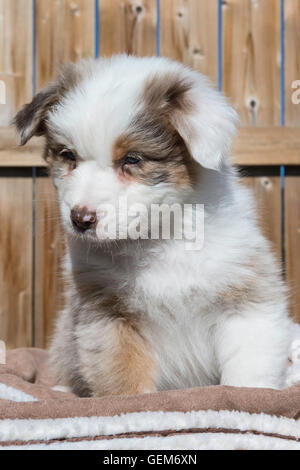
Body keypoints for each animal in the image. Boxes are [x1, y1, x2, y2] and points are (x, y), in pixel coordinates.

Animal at [14, 55, 292, 394]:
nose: (80, 220)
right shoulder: (107, 313)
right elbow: (123, 379)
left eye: (132, 159)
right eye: (68, 156)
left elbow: (247, 372)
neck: (160, 238)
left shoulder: (245, 299)